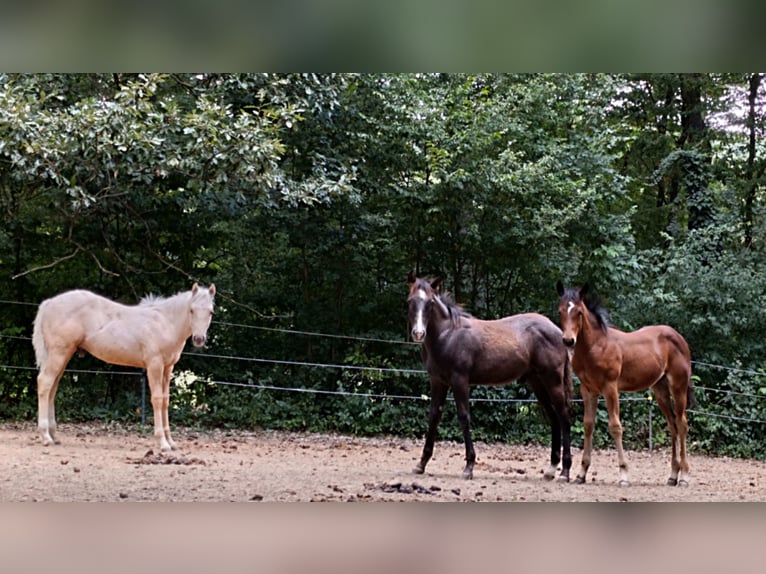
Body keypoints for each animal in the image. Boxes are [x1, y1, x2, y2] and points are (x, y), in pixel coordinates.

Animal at [32, 282, 216, 452]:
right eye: (191, 310)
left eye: (211, 312)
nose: (199, 339)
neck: (165, 323)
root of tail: (49, 303)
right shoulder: (154, 365)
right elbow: (157, 399)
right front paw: (163, 443)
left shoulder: (168, 367)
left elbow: (165, 401)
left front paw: (171, 442)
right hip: (59, 353)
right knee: (45, 383)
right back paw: (45, 436)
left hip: (63, 356)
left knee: (53, 388)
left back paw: (54, 435)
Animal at [407, 272, 573, 481]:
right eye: (410, 301)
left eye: (430, 302)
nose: (418, 333)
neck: (447, 334)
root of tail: (559, 332)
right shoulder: (438, 381)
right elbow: (433, 416)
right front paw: (421, 464)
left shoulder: (459, 380)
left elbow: (464, 416)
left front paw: (469, 467)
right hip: (538, 383)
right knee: (553, 418)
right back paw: (551, 468)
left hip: (553, 381)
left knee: (564, 417)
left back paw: (565, 471)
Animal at [556, 282, 694, 487]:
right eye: (560, 311)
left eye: (579, 312)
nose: (568, 340)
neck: (595, 346)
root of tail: (680, 338)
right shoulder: (588, 389)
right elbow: (588, 425)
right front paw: (581, 473)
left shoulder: (610, 387)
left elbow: (615, 426)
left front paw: (623, 475)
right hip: (660, 390)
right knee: (672, 424)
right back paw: (672, 475)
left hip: (678, 386)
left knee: (682, 423)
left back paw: (684, 476)